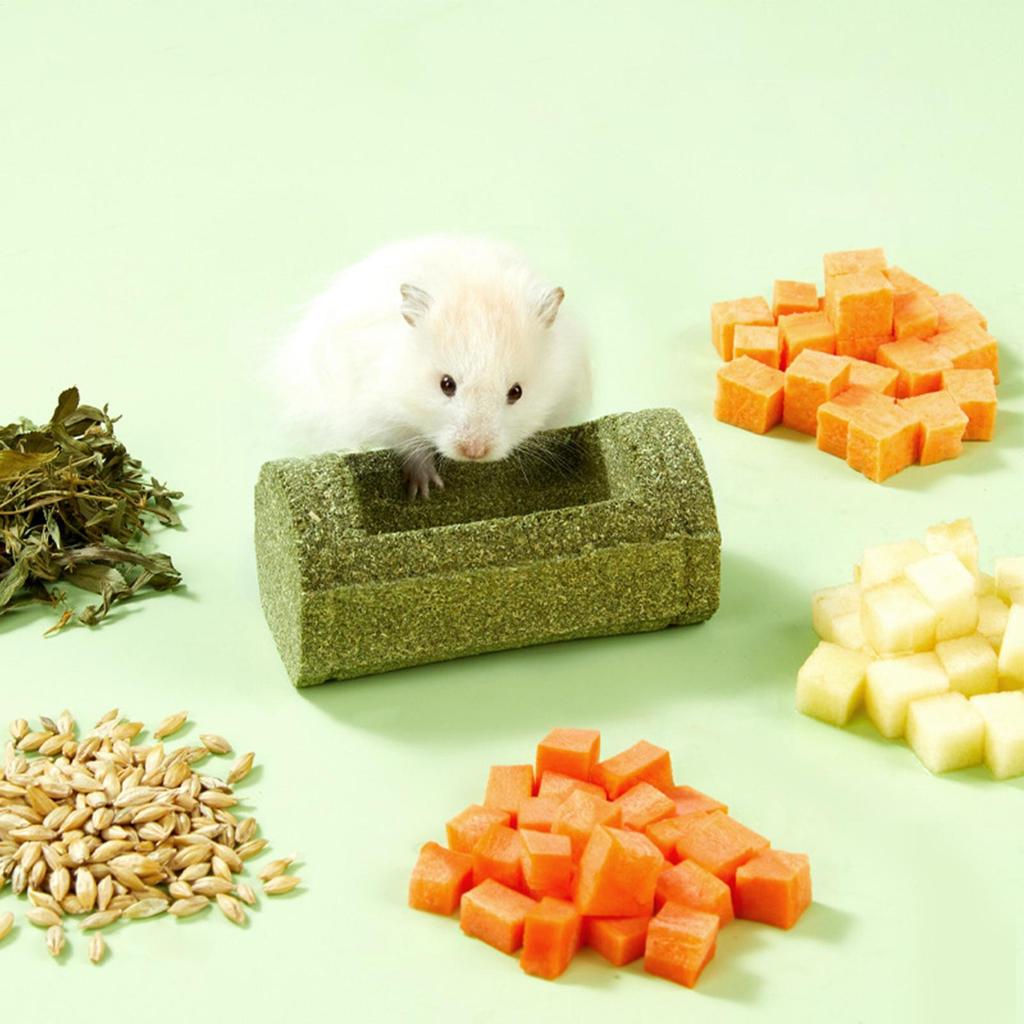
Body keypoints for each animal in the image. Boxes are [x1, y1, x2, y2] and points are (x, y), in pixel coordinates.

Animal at [273, 236, 592, 497]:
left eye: (516, 392)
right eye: (446, 384)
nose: (474, 452)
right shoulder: (376, 411)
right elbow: (408, 442)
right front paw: (426, 489)